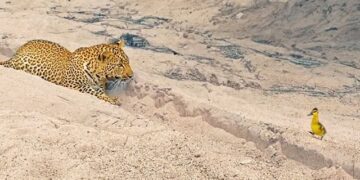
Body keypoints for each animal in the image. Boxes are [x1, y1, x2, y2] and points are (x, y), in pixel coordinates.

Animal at [0, 39, 134, 104]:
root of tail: (17, 52)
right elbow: (91, 91)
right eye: (120, 65)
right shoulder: (72, 85)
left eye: (128, 62)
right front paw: (112, 99)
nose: (131, 76)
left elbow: (99, 91)